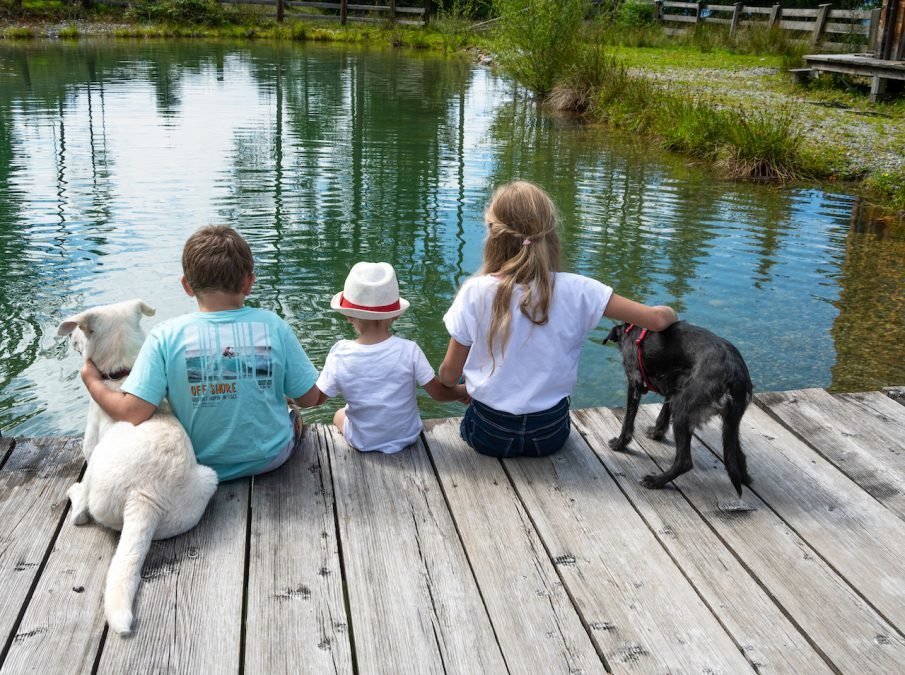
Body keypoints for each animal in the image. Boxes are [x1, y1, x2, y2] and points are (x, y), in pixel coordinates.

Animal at [57, 302, 218, 640]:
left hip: (97, 463)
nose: (70, 341)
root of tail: (146, 497)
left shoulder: (89, 442)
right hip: (209, 476)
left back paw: (74, 494)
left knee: (81, 512)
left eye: (79, 330)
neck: (122, 377)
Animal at [604, 322, 752, 496]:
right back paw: (745, 478)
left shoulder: (635, 382)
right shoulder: (674, 388)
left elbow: (628, 420)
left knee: (684, 461)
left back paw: (655, 481)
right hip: (730, 421)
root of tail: (735, 374)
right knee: (738, 455)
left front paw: (619, 444)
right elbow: (664, 413)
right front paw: (657, 433)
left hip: (683, 411)